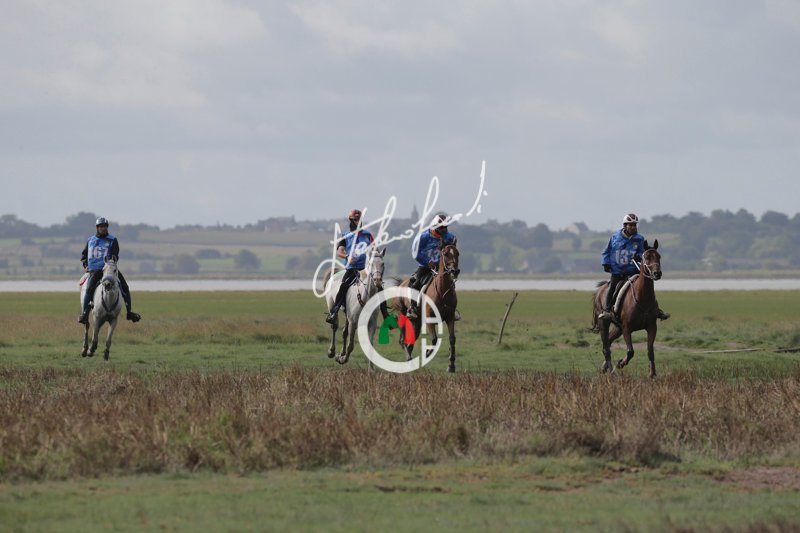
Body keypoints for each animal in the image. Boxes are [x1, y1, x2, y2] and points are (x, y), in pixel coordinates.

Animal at [396, 244, 459, 373]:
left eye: (457, 253)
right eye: (445, 254)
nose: (454, 271)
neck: (442, 291)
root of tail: (401, 283)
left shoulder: (450, 317)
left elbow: (452, 339)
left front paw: (451, 365)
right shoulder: (430, 319)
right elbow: (434, 339)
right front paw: (428, 352)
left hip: (417, 322)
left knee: (411, 340)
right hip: (403, 314)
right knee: (402, 340)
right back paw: (409, 359)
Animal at [591, 239, 663, 379]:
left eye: (659, 256)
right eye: (647, 257)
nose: (657, 273)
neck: (643, 298)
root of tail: (600, 290)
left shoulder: (652, 326)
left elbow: (650, 350)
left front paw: (652, 374)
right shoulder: (626, 328)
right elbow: (630, 351)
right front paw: (620, 363)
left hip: (617, 328)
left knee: (608, 342)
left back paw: (604, 368)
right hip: (604, 323)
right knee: (606, 348)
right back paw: (611, 370)